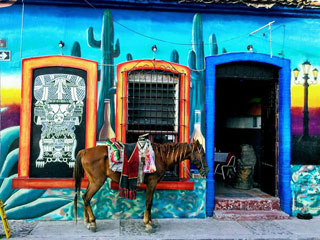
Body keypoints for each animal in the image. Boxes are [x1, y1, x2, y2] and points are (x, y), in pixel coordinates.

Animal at [73, 140, 209, 232]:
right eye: (202, 154)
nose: (206, 171)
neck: (160, 157)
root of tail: (85, 151)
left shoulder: (152, 184)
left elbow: (150, 203)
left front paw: (150, 222)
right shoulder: (152, 183)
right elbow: (149, 203)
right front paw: (148, 224)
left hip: (92, 181)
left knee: (85, 197)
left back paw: (87, 221)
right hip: (97, 181)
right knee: (87, 198)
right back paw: (92, 223)